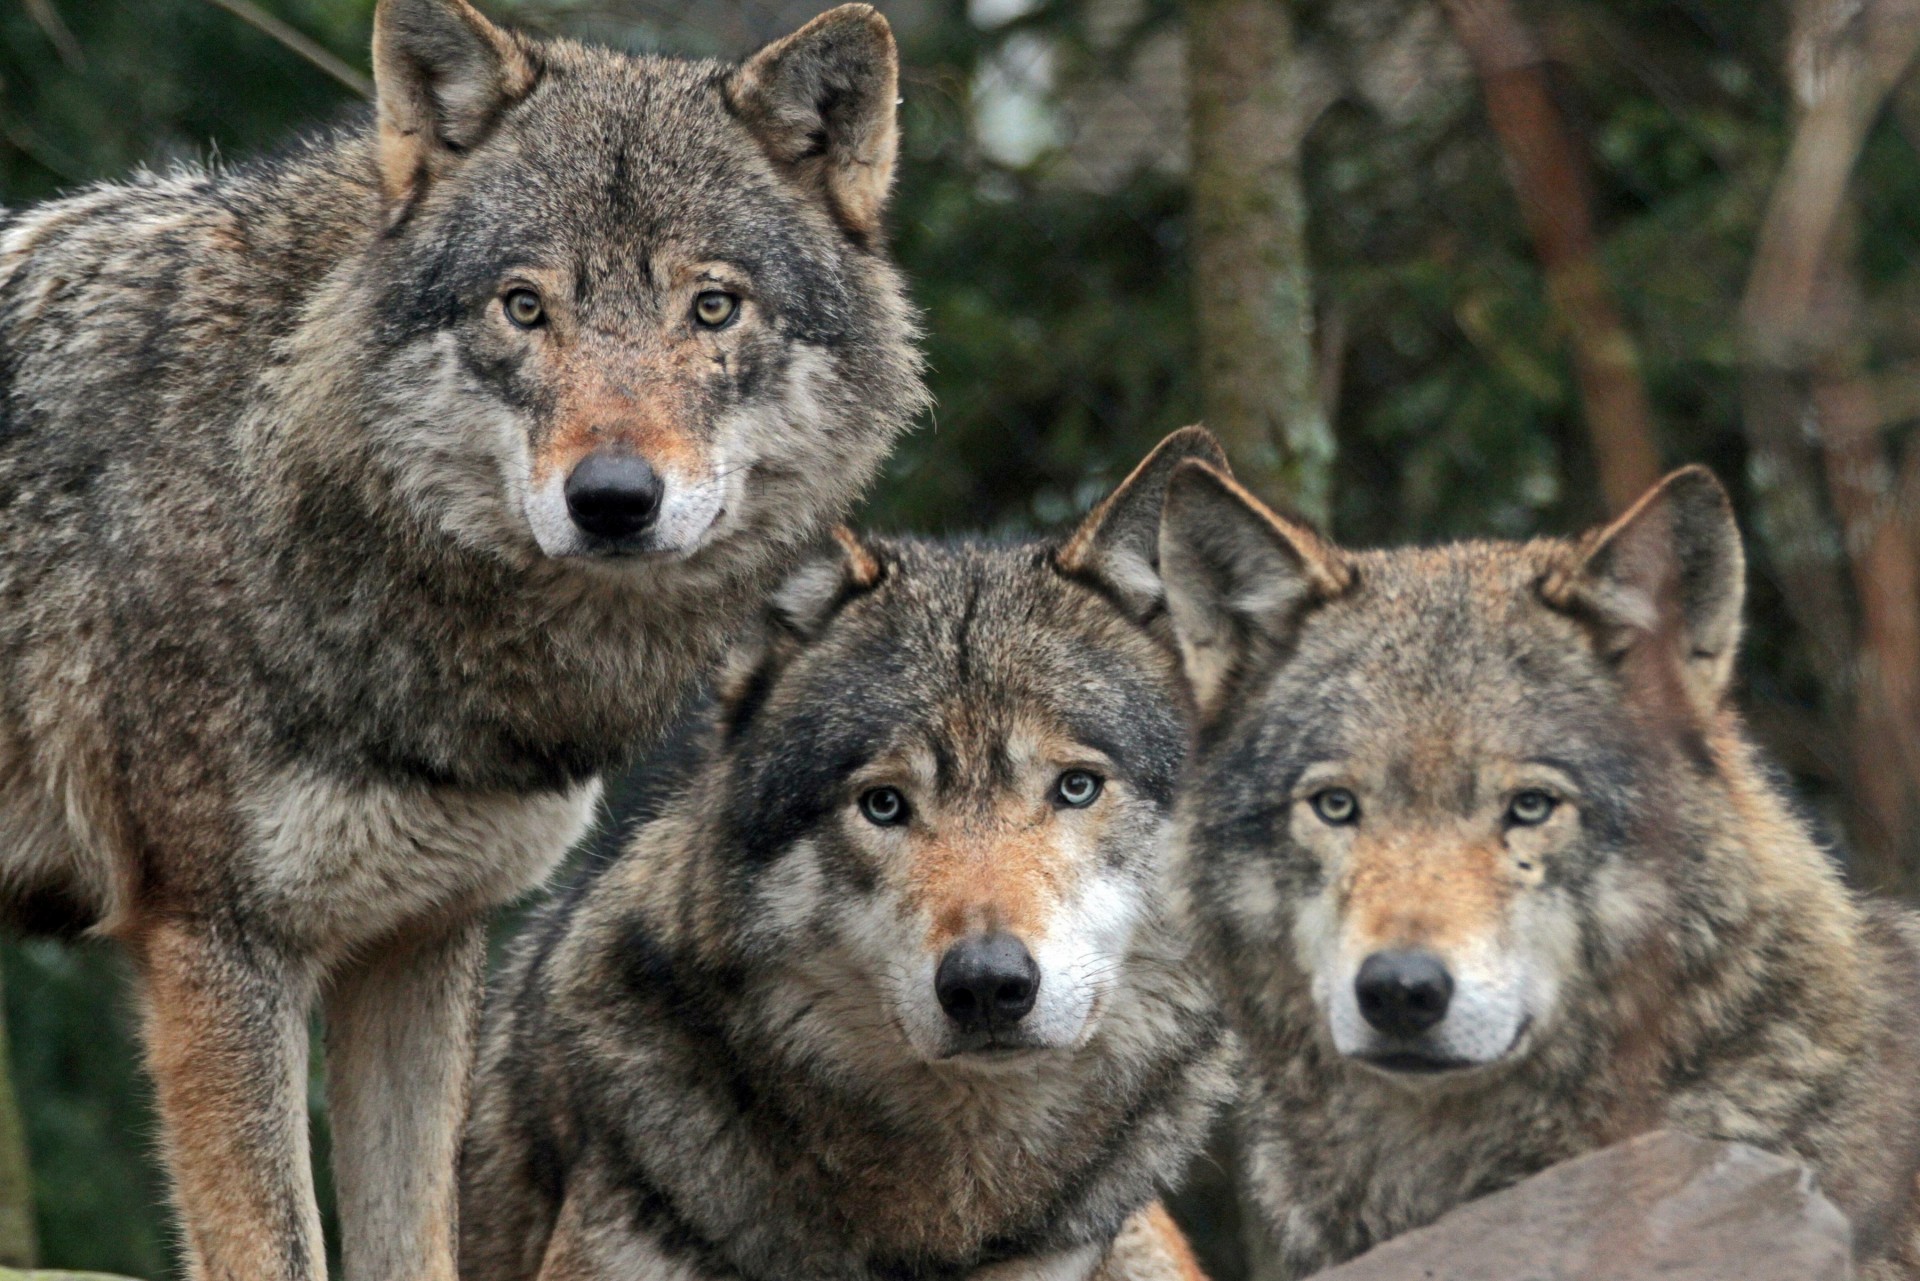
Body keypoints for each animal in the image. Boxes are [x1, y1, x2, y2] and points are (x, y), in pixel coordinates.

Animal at [0, 5, 929, 1275]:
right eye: (524, 307)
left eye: (713, 306)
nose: (613, 500)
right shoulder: (215, 945)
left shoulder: (422, 940)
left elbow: (414, 1243)